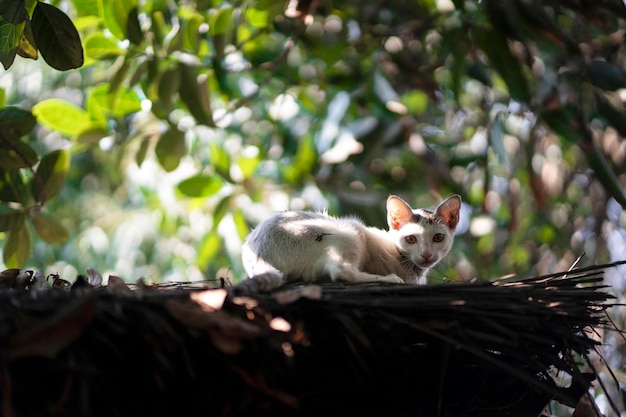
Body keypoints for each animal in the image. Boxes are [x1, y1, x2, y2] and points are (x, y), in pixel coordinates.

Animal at [234, 193, 458, 292]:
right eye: (411, 239)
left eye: (438, 238)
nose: (426, 254)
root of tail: (254, 252)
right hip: (349, 232)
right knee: (341, 272)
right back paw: (388, 279)